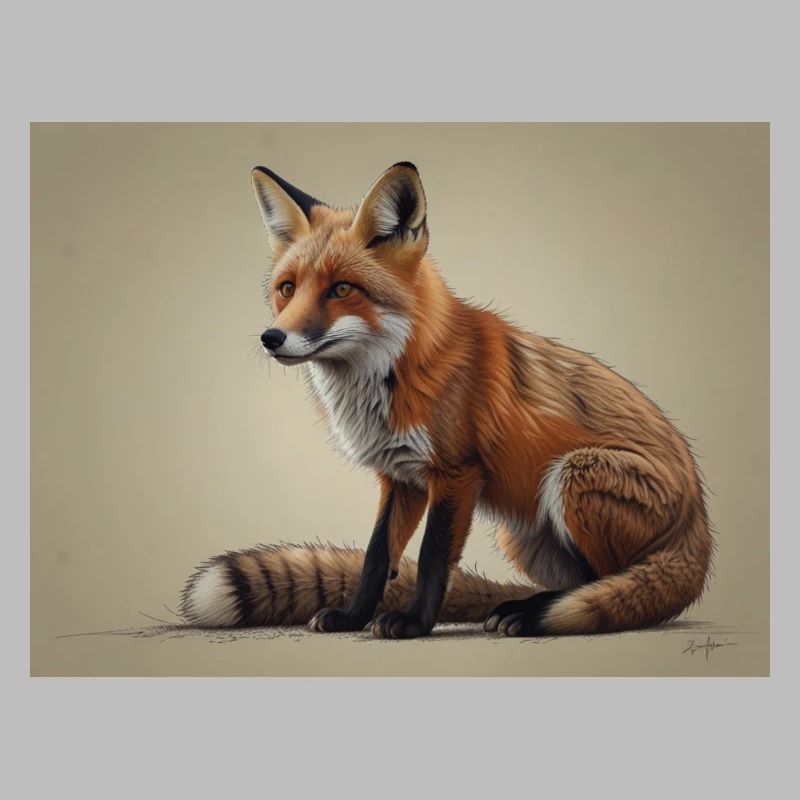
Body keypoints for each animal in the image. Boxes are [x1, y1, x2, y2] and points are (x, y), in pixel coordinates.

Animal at [179, 161, 713, 638]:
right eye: (287, 289)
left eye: (342, 289)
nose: (272, 338)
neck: (398, 374)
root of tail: (699, 527)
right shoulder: (400, 477)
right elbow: (377, 557)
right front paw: (353, 617)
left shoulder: (458, 472)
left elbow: (434, 557)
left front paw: (414, 624)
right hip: (520, 531)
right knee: (585, 584)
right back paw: (520, 606)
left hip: (572, 474)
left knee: (611, 588)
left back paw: (530, 615)